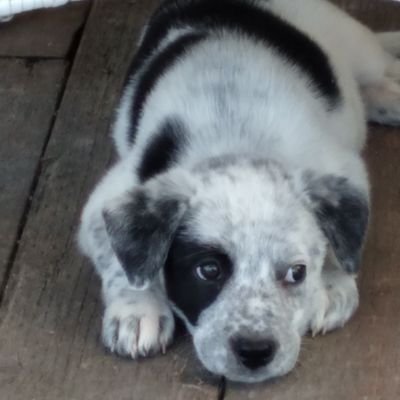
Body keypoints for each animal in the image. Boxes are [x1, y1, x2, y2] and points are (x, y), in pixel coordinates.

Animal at [78, 0, 400, 382]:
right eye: (208, 271)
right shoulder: (110, 197)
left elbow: (343, 245)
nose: (255, 351)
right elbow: (120, 263)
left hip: (354, 44)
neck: (236, 137)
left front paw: (331, 285)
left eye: (296, 273)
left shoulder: (344, 170)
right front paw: (137, 309)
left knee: (380, 65)